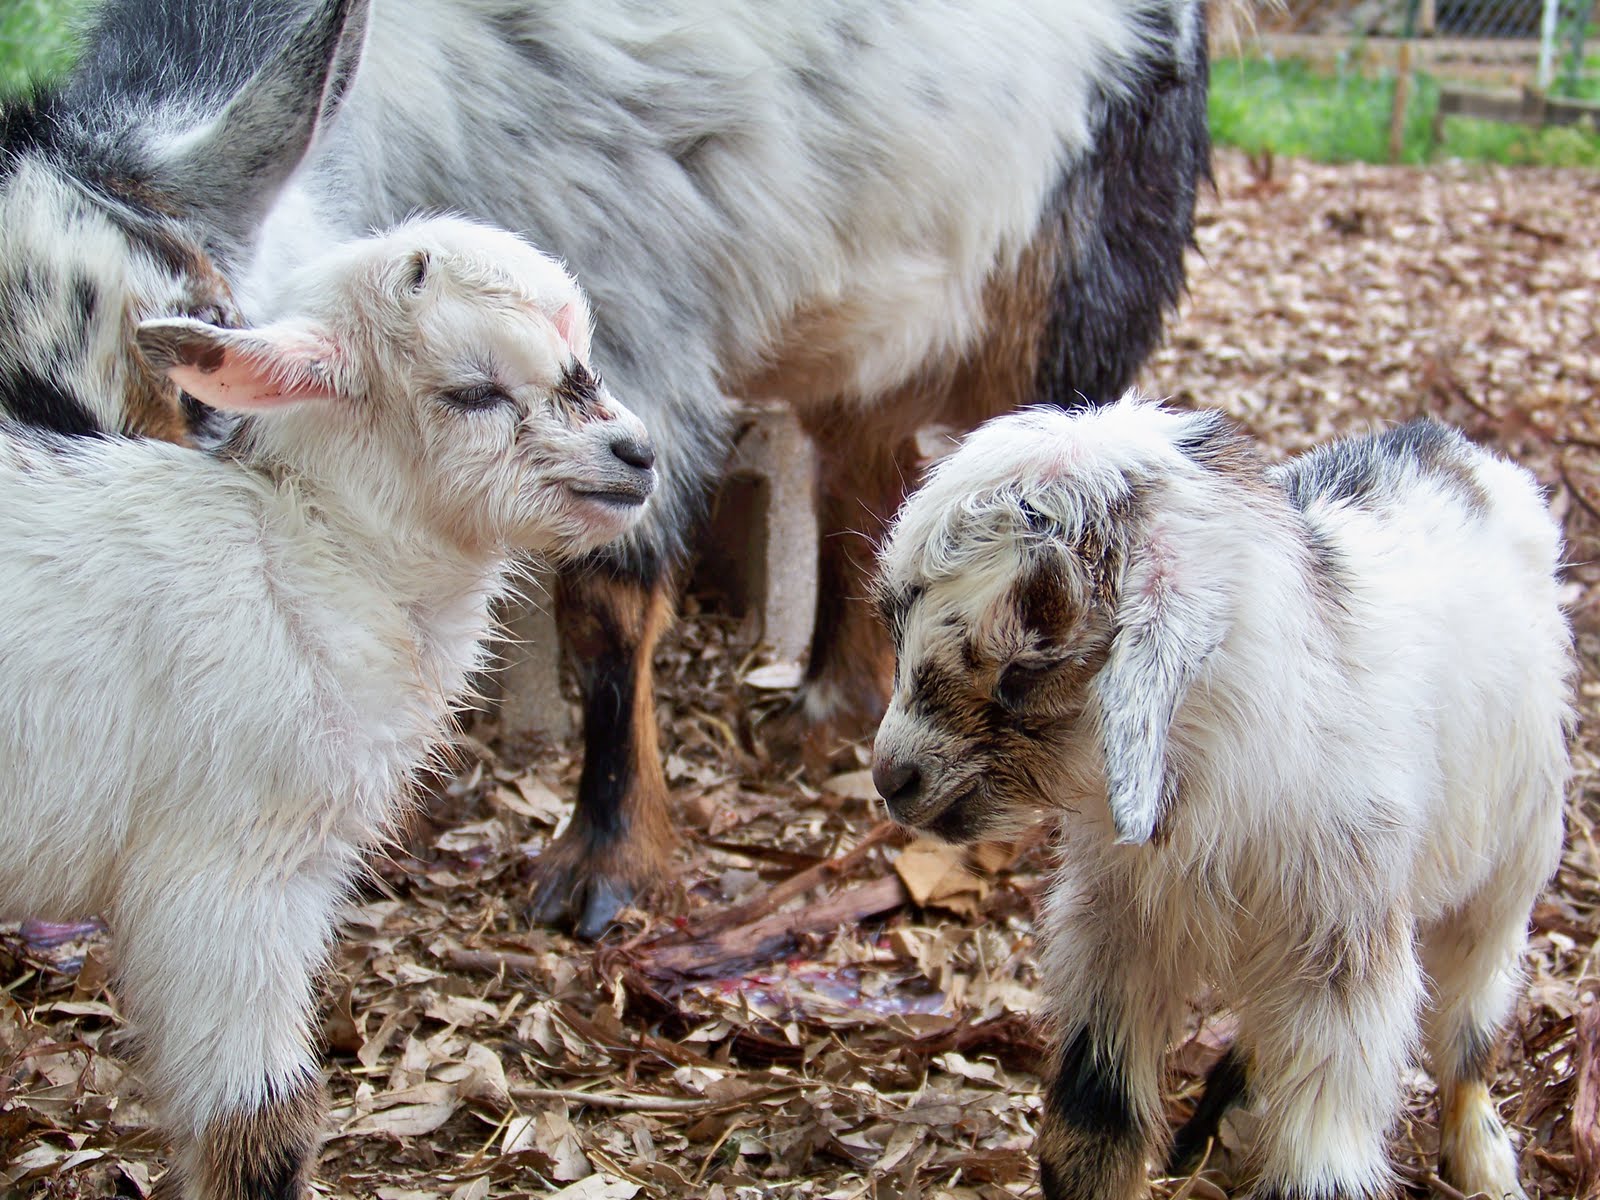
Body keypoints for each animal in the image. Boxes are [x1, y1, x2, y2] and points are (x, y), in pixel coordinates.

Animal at [0, 0, 1212, 937]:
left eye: (198, 386)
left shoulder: (633, 334)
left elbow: (605, 608)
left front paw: (605, 866)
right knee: (867, 474)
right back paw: (834, 700)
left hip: (1075, 274)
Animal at [0, 216, 654, 1199]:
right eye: (473, 390)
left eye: (582, 342)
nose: (639, 455)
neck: (305, 555)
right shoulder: (224, 869)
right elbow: (259, 1125)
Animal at [871, 398, 1571, 1200]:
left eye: (1025, 668)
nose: (891, 778)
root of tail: (1462, 450)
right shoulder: (1115, 935)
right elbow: (1092, 1125)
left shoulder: (1343, 959)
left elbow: (1321, 1164)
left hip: (1508, 872)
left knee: (1471, 1029)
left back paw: (1485, 1163)